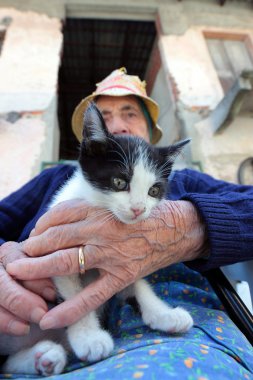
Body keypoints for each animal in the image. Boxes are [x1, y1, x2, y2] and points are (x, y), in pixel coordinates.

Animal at [0, 102, 193, 376]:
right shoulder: (51, 248)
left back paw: (45, 357)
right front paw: (89, 338)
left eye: (154, 190)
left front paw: (163, 314)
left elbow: (137, 283)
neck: (95, 203)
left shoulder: (121, 264)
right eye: (119, 181)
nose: (138, 209)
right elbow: (74, 298)